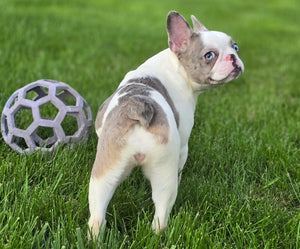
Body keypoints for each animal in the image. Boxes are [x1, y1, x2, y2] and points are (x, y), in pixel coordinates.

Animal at [88, 10, 244, 238]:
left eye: (235, 47)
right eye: (209, 56)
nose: (234, 57)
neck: (175, 66)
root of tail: (136, 106)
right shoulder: (183, 144)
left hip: (104, 169)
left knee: (97, 213)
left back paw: (95, 238)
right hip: (163, 170)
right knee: (162, 210)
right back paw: (159, 234)